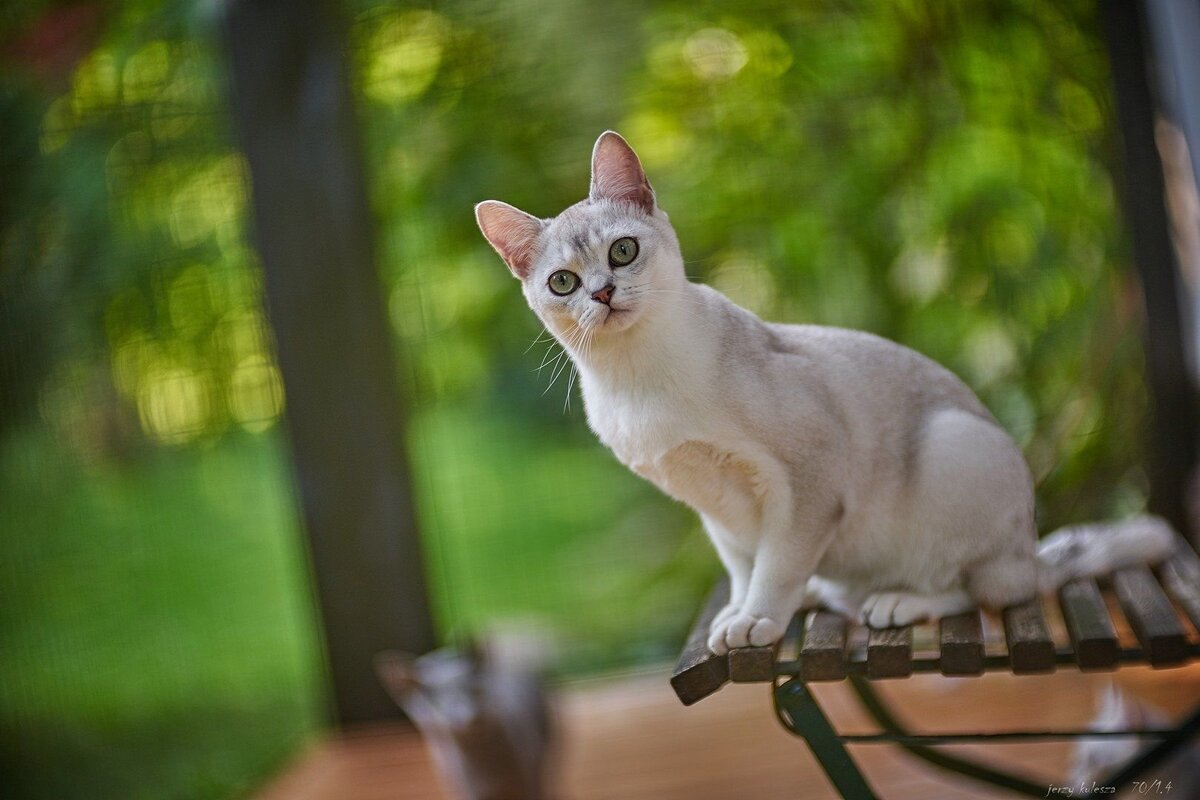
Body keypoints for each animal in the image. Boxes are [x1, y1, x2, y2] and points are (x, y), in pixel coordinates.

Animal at [475, 130, 1176, 655]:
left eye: (622, 252)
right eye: (563, 282)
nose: (602, 293)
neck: (636, 381)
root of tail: (1034, 547)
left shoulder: (806, 481)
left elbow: (778, 561)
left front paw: (755, 622)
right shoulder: (713, 508)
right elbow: (745, 566)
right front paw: (738, 613)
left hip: (955, 447)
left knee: (988, 589)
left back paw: (892, 602)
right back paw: (824, 594)